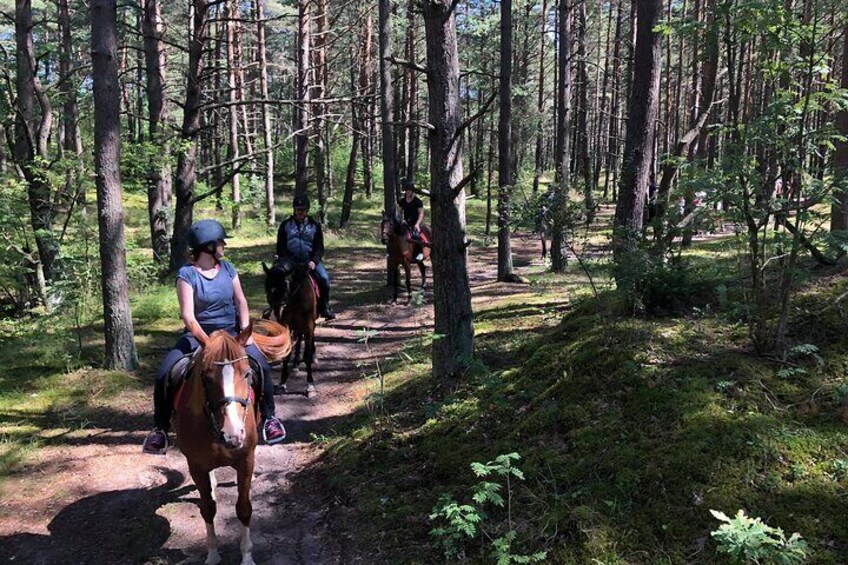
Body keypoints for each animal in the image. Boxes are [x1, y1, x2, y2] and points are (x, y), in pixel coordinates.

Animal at [174, 320, 290, 560]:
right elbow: (208, 508)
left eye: (247, 374)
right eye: (206, 378)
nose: (233, 433)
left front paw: (247, 557)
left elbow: (244, 508)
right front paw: (212, 555)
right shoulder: (196, 465)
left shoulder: (245, 460)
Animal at [262, 262, 318, 394]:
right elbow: (286, 355)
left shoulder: (308, 325)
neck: (295, 299)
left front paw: (310, 384)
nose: (276, 313)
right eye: (267, 288)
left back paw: (313, 356)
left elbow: (307, 355)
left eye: (283, 288)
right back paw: (295, 365)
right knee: (298, 339)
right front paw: (282, 383)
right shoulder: (287, 326)